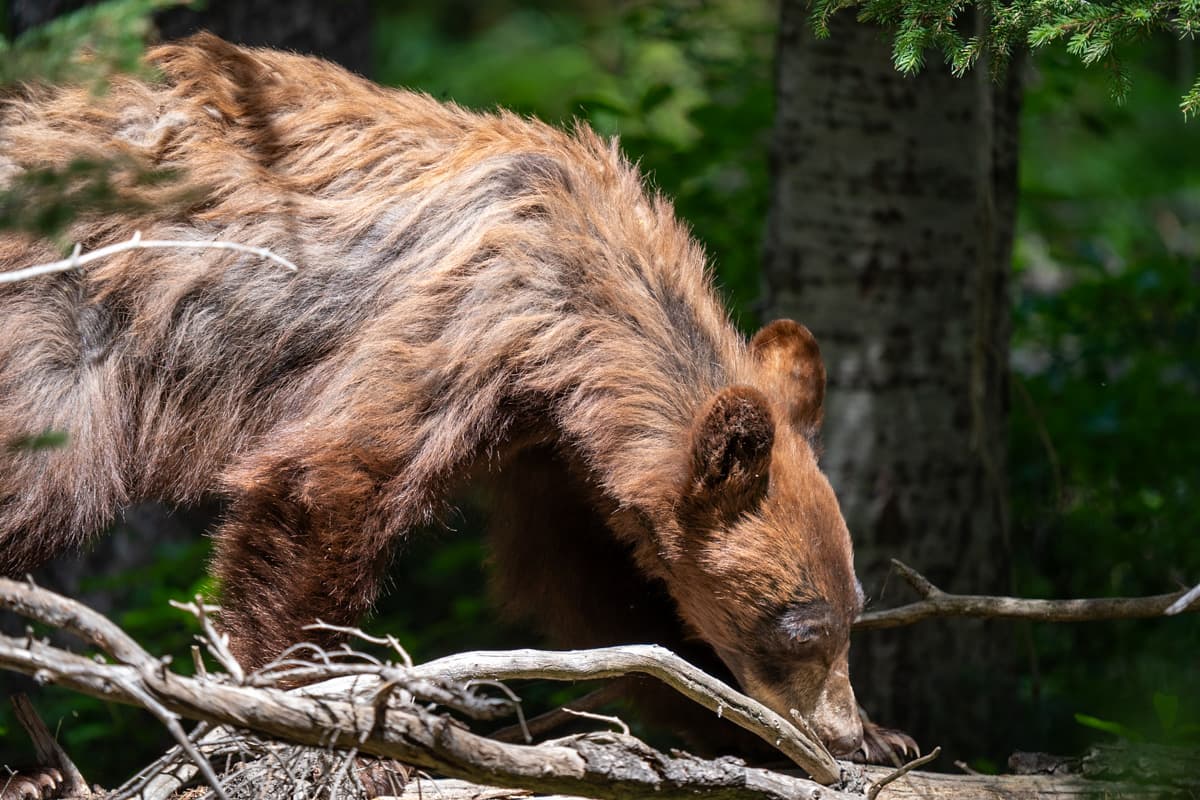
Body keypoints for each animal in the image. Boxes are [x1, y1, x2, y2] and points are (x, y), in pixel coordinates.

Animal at [0, 34, 865, 757]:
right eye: (801, 628)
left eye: (853, 611)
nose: (845, 734)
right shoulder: (465, 323)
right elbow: (333, 478)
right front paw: (295, 703)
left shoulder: (557, 444)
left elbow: (591, 585)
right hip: (56, 333)